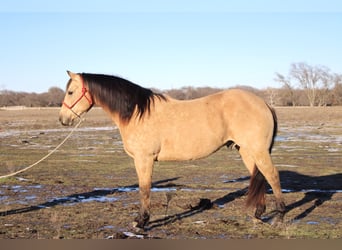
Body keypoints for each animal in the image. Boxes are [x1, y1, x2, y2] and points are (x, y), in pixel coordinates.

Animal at [59, 70, 286, 229]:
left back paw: (280, 216)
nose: (62, 119)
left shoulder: (144, 159)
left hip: (258, 150)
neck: (137, 113)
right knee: (259, 176)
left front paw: (141, 222)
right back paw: (259, 214)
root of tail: (264, 103)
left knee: (272, 176)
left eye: (70, 92)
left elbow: (144, 189)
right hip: (247, 151)